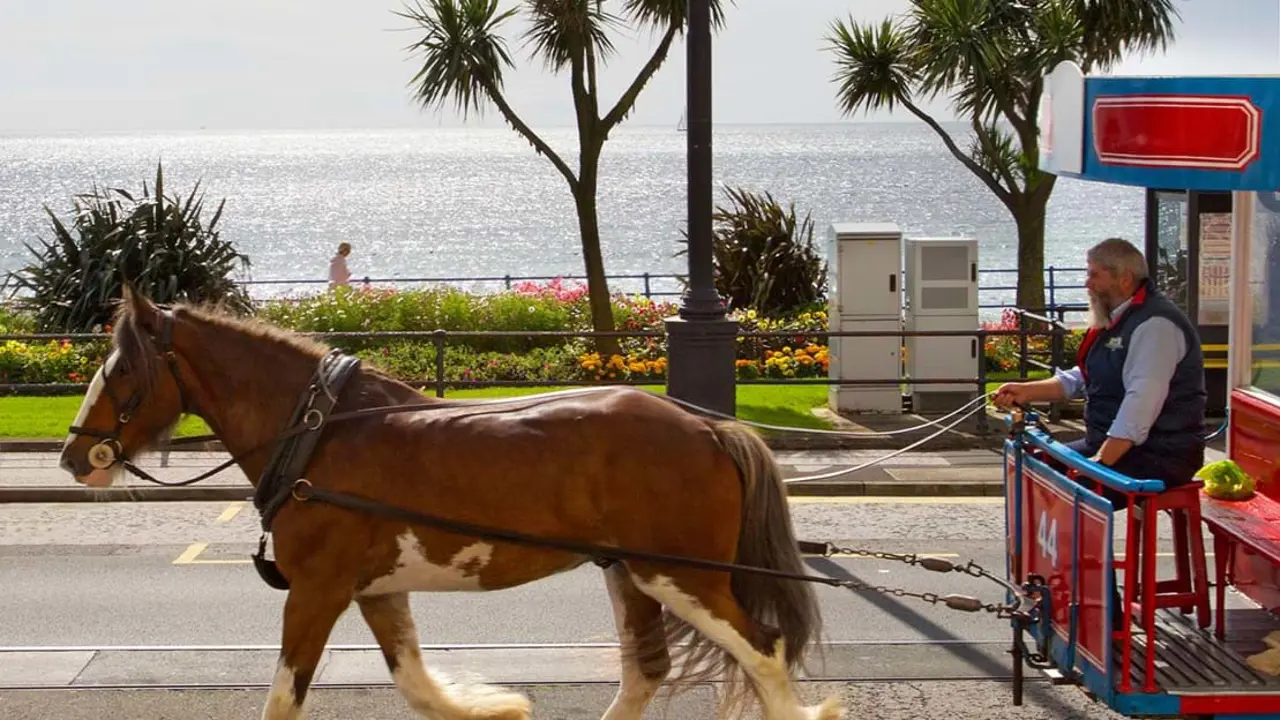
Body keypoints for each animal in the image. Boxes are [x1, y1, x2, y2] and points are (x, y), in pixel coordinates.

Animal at [60, 286, 844, 717]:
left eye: (122, 368)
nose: (73, 456)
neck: (318, 431)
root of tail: (710, 425)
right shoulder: (372, 589)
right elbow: (414, 683)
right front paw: (495, 707)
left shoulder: (315, 590)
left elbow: (285, 696)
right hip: (631, 573)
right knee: (646, 672)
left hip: (681, 575)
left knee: (764, 651)